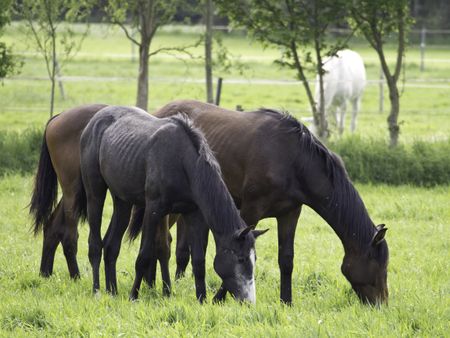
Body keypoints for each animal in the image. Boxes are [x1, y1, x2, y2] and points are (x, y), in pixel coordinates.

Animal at [74, 105, 268, 302]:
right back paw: (97, 290)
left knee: (111, 245)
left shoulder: (194, 215)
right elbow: (144, 256)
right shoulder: (153, 210)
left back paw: (112, 291)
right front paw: (133, 296)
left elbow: (198, 261)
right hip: (95, 194)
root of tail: (94, 120)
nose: (249, 301)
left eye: (254, 259)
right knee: (95, 244)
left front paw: (202, 299)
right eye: (241, 259)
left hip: (122, 202)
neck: (183, 162)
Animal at [154, 99, 386, 304]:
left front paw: (286, 301)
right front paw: (219, 297)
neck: (292, 160)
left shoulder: (289, 213)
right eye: (379, 266)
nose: (381, 304)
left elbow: (286, 260)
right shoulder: (250, 211)